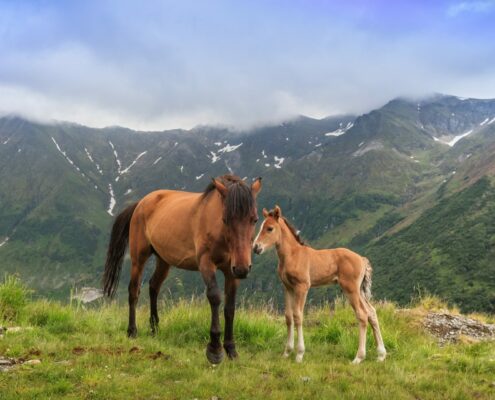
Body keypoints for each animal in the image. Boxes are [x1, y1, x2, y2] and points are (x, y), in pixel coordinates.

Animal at [103, 173, 262, 364]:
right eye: (225, 219)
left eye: (254, 219)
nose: (242, 269)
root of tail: (141, 202)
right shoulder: (206, 263)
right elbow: (215, 297)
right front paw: (214, 350)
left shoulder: (231, 272)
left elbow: (230, 308)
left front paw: (231, 349)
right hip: (138, 259)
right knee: (134, 290)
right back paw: (132, 331)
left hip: (163, 260)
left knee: (153, 286)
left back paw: (155, 328)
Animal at [256, 205, 388, 364]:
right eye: (260, 227)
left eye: (269, 228)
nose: (256, 248)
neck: (293, 255)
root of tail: (362, 259)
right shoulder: (287, 287)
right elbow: (288, 317)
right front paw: (287, 352)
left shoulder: (302, 287)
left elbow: (298, 316)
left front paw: (299, 354)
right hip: (359, 291)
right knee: (372, 312)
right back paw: (381, 355)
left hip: (350, 289)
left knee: (362, 315)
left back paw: (358, 357)